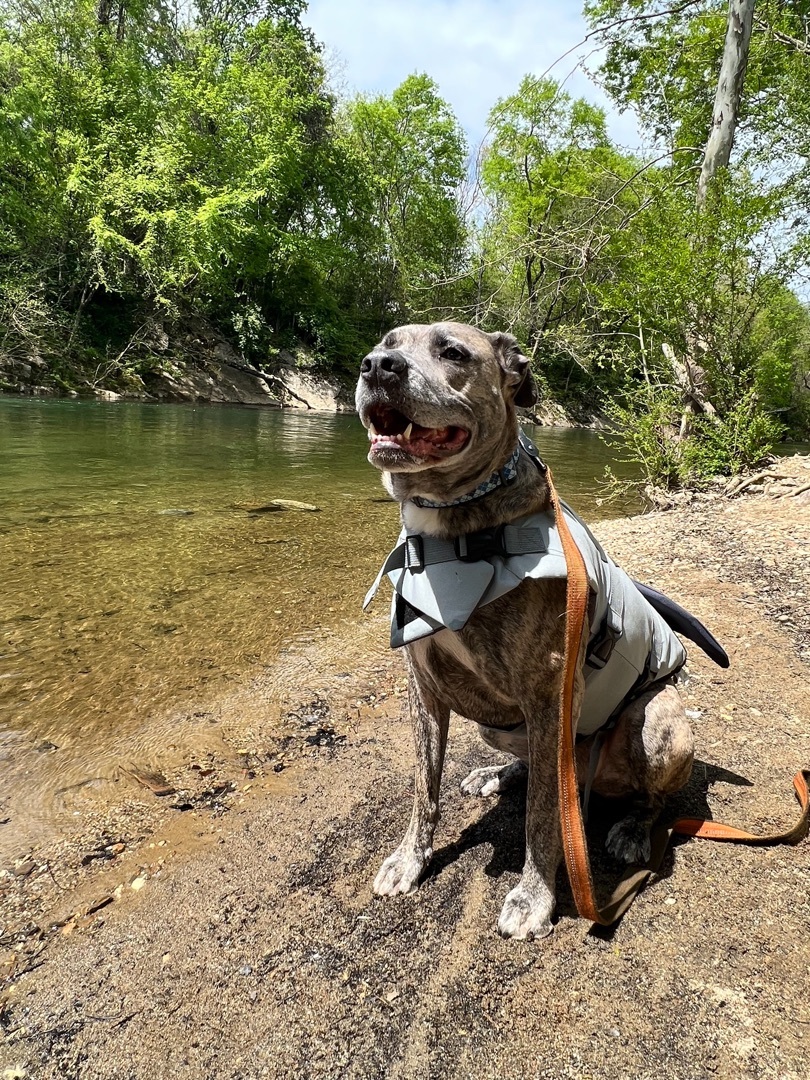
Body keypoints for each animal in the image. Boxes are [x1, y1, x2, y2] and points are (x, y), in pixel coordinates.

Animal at [356, 319, 699, 937]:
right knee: (530, 764)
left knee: (647, 797)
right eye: (386, 343)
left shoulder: (549, 692)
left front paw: (534, 897)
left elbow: (543, 814)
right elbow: (424, 786)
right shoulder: (423, 687)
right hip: (507, 727)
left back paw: (633, 828)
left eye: (452, 352)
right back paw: (496, 773)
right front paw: (409, 859)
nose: (377, 366)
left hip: (655, 717)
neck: (454, 532)